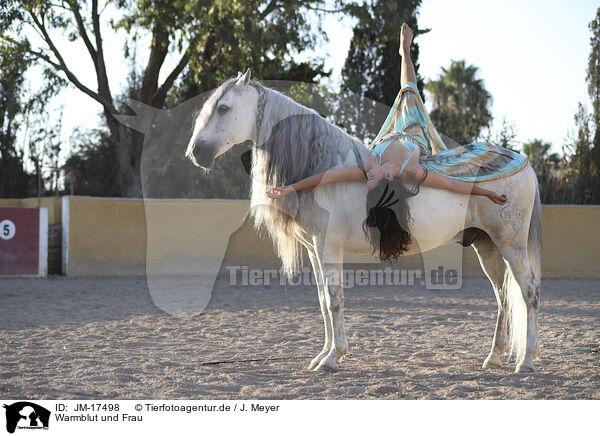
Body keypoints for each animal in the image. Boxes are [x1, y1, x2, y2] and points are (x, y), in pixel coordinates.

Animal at [185, 70, 540, 372]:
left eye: (223, 108)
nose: (195, 153)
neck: (323, 165)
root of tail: (523, 164)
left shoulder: (328, 247)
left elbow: (334, 299)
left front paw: (333, 358)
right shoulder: (314, 249)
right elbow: (323, 303)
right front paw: (322, 356)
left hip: (510, 244)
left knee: (528, 291)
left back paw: (527, 360)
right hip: (487, 246)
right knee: (502, 296)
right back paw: (494, 358)